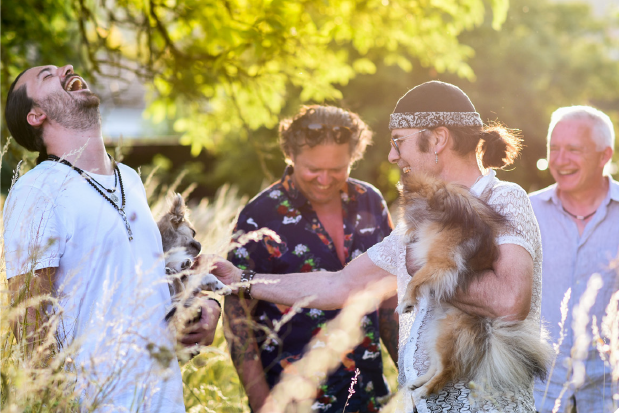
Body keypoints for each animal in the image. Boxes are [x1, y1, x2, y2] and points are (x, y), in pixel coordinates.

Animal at [398, 172, 552, 398]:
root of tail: (489, 329)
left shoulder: (442, 264)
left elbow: (415, 278)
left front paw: (406, 302)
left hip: (448, 332)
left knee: (447, 370)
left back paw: (423, 391)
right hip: (439, 332)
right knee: (437, 365)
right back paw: (418, 382)